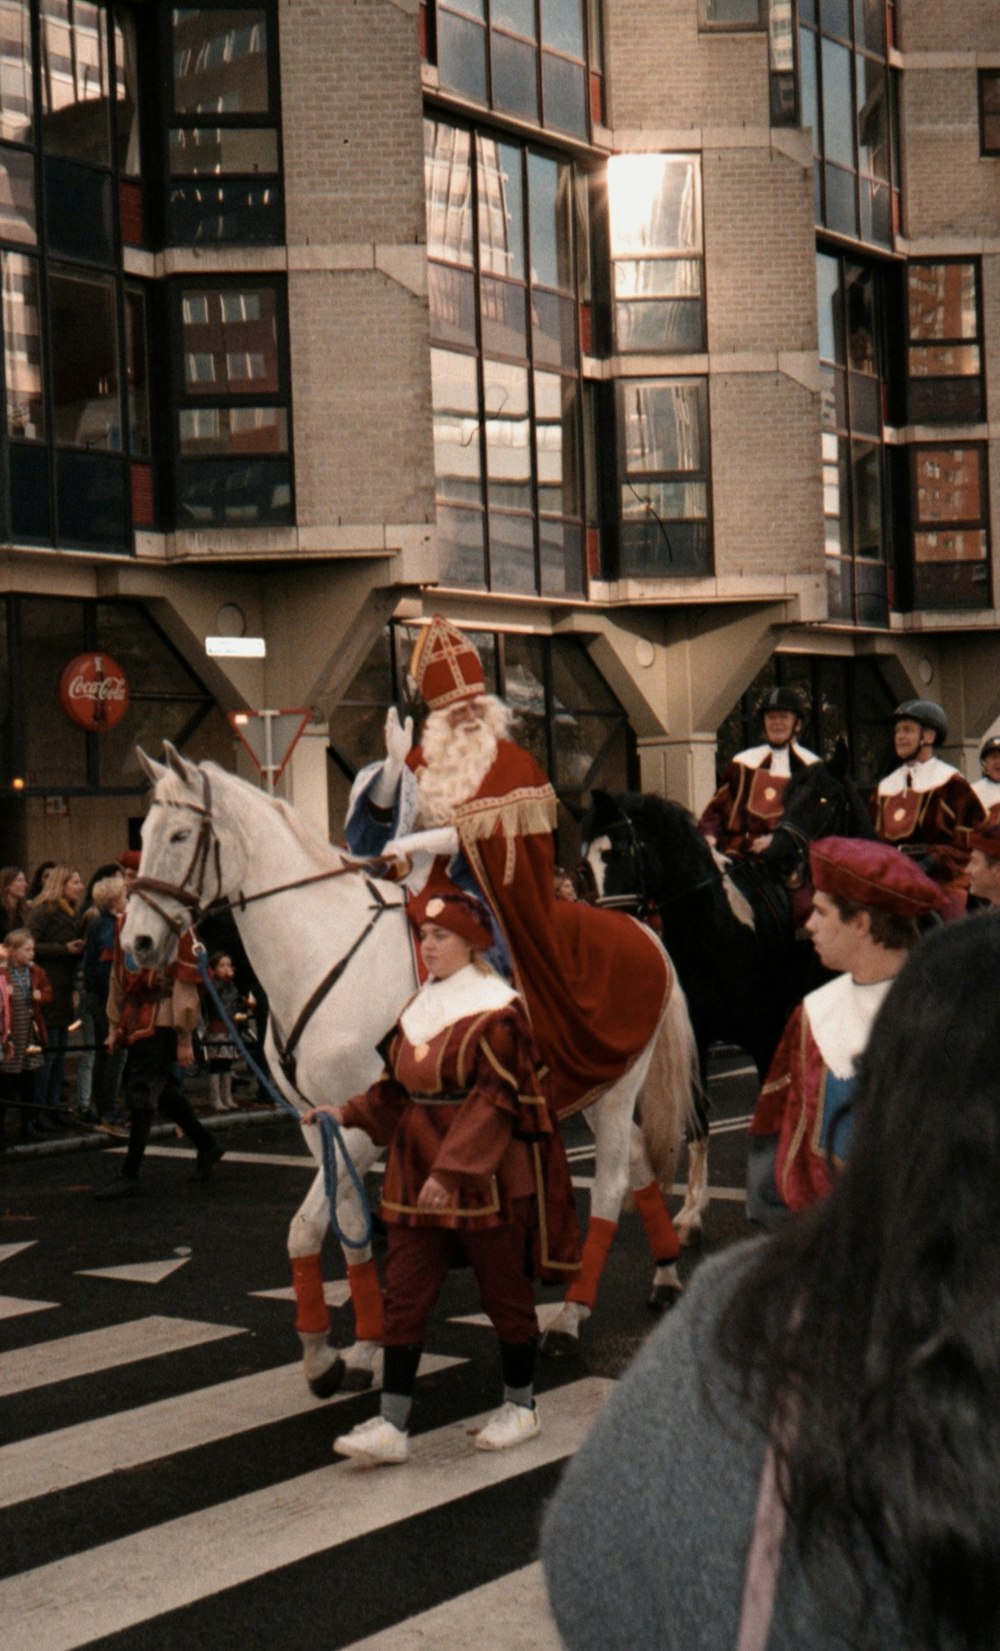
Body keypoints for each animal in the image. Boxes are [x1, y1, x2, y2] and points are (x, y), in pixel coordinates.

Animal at [123, 752, 696, 1393]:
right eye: (144, 833)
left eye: (178, 835)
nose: (136, 942)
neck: (322, 954)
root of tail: (642, 930)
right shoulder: (318, 1122)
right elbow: (344, 1221)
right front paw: (356, 1349)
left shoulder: (364, 1120)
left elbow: (308, 1224)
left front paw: (331, 1354)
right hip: (594, 1089)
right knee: (641, 1162)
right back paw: (665, 1273)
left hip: (617, 1090)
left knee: (612, 1185)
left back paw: (570, 1316)